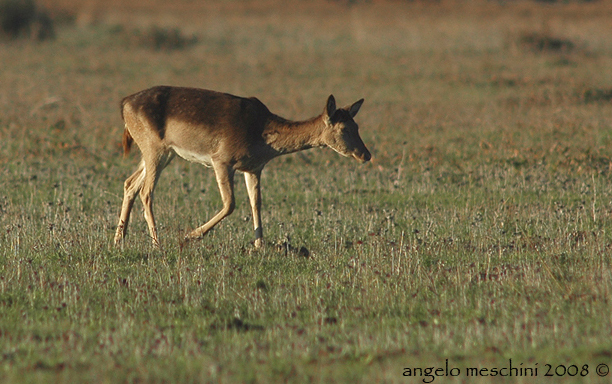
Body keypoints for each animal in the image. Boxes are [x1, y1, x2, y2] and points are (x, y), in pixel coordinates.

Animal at [113, 86, 370, 249]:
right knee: (146, 191)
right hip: (153, 149)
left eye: (357, 125)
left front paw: (260, 245)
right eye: (344, 128)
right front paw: (190, 235)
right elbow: (230, 204)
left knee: (130, 183)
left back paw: (118, 240)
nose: (366, 155)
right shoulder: (221, 160)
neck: (262, 134)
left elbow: (256, 203)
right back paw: (157, 244)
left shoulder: (253, 168)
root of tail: (124, 104)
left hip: (163, 154)